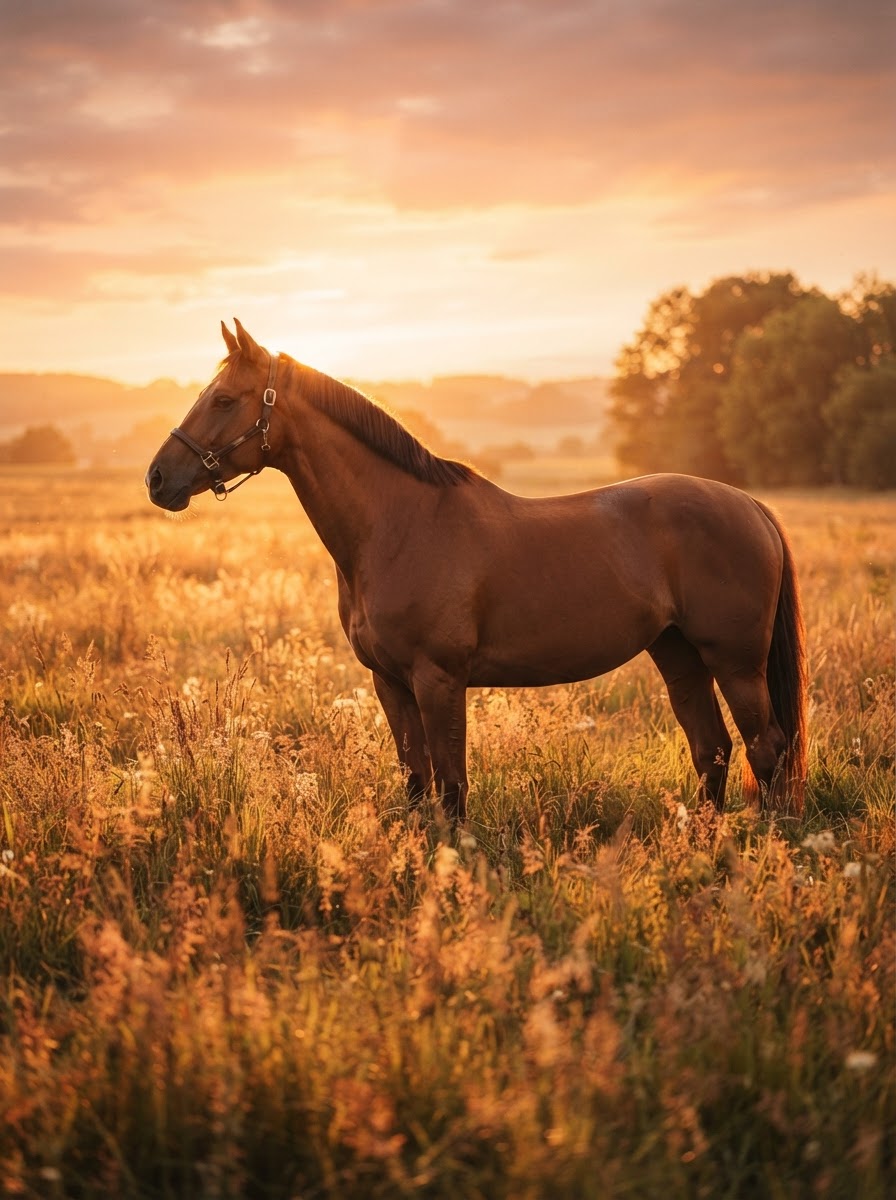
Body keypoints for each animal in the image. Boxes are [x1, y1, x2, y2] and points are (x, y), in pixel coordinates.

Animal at [146, 320, 807, 823]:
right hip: (678, 654)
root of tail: (751, 505)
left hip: (734, 661)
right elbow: (417, 783)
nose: (157, 478)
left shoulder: (438, 680)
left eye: (224, 399)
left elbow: (451, 786)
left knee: (766, 748)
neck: (397, 525)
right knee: (712, 749)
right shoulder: (390, 683)